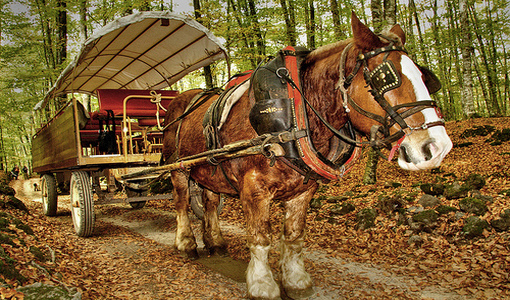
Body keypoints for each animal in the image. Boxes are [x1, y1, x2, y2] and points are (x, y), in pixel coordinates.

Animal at [161, 12, 452, 300]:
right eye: (385, 78)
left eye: (424, 77)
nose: (438, 146)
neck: (296, 110)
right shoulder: (254, 189)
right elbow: (260, 238)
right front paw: (262, 285)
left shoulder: (304, 191)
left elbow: (294, 237)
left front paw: (296, 281)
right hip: (177, 167)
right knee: (182, 202)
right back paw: (186, 243)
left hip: (208, 171)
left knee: (210, 202)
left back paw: (215, 241)